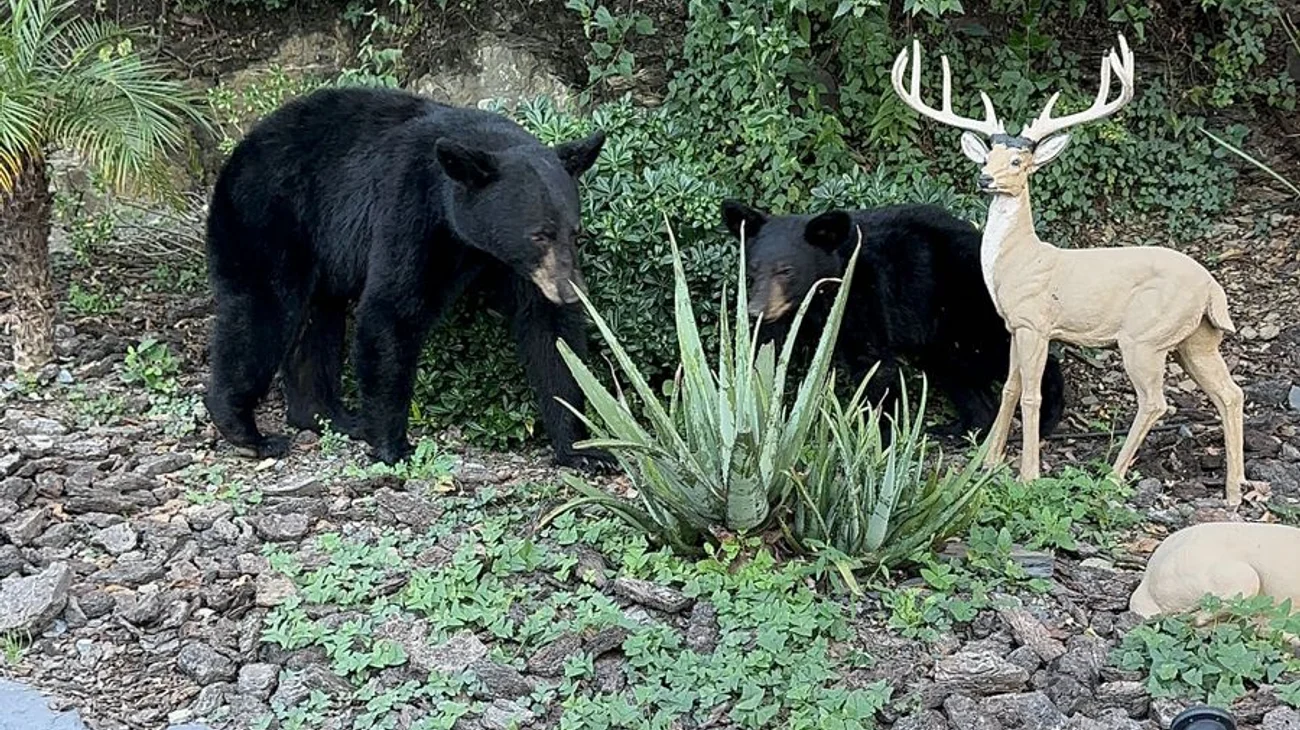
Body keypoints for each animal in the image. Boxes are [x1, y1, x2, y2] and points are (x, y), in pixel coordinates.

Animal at [203, 85, 612, 469]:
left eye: (574, 232)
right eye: (539, 234)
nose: (571, 290)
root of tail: (236, 154)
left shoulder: (521, 268)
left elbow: (551, 334)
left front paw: (582, 450)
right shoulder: (412, 209)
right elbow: (392, 311)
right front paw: (392, 446)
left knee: (317, 323)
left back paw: (330, 416)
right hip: (272, 220)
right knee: (264, 314)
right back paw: (245, 429)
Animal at [720, 200, 1066, 441]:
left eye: (786, 270)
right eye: (752, 269)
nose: (756, 309)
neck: (819, 294)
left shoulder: (863, 295)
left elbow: (873, 363)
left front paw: (879, 436)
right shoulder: (786, 317)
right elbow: (768, 350)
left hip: (968, 309)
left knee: (1003, 354)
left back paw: (1047, 416)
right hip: (941, 336)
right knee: (955, 372)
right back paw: (960, 430)